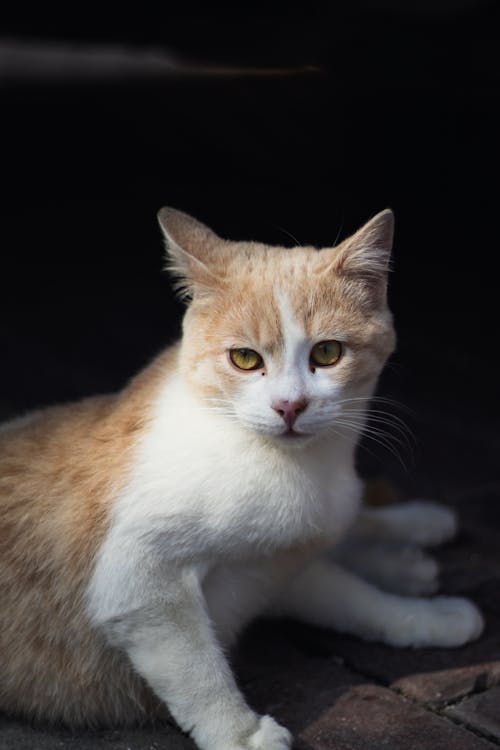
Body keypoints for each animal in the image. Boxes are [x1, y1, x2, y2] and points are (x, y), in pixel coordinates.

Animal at [0, 209, 484, 750]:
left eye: (328, 353)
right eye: (245, 359)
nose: (290, 406)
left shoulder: (278, 565)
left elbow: (352, 598)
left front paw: (426, 618)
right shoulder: (140, 582)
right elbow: (196, 668)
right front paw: (241, 734)